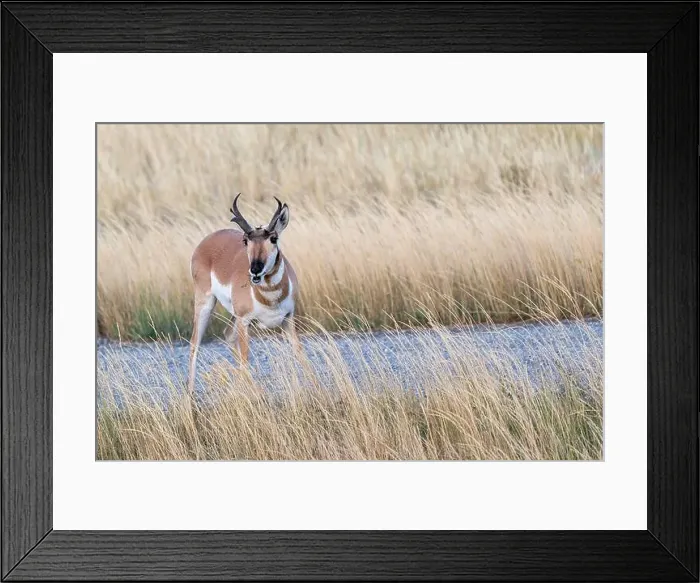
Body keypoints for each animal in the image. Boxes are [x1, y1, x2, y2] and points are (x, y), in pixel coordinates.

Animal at [187, 194, 300, 393]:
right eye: (246, 241)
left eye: (274, 238)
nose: (255, 269)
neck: (270, 298)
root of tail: (207, 240)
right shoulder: (244, 321)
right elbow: (245, 357)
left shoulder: (288, 318)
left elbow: (299, 352)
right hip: (206, 304)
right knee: (195, 343)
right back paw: (190, 395)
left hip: (233, 316)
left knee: (227, 335)